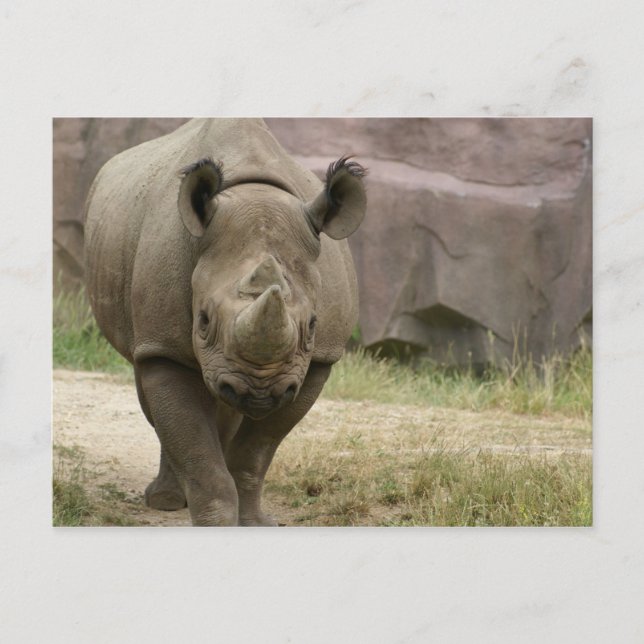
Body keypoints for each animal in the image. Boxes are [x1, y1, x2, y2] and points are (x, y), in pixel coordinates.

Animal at [83, 118, 367, 526]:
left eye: (313, 325)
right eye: (202, 321)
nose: (258, 391)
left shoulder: (317, 363)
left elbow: (256, 452)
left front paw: (254, 523)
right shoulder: (163, 345)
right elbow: (195, 448)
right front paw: (213, 521)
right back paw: (166, 500)